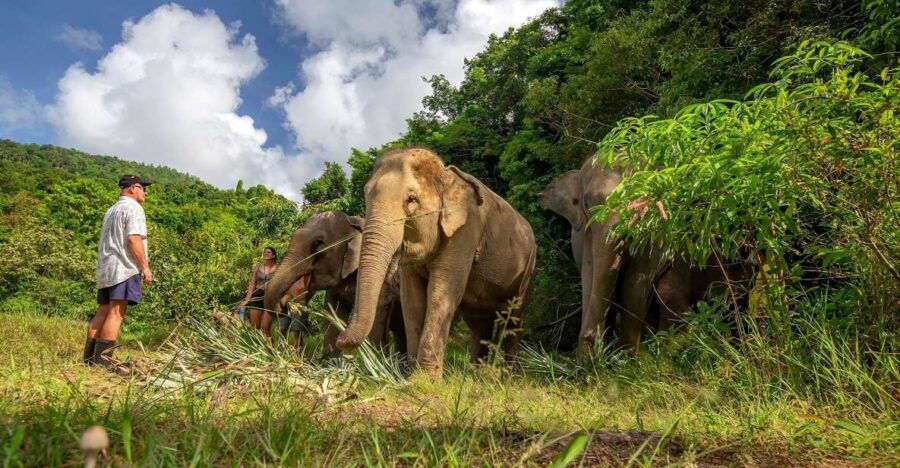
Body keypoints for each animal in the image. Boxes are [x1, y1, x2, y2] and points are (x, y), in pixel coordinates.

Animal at [336, 148, 538, 376]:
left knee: (514, 321)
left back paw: (506, 377)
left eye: (411, 199)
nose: (340, 341)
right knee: (480, 326)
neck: (446, 176)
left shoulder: (465, 231)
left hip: (528, 272)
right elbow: (412, 300)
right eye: (366, 195)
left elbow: (441, 292)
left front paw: (425, 378)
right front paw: (411, 374)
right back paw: (477, 375)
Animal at [538, 158, 748, 355]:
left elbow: (635, 284)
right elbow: (590, 276)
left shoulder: (652, 236)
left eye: (637, 201)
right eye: (587, 204)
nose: (589, 340)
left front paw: (627, 358)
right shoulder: (585, 236)